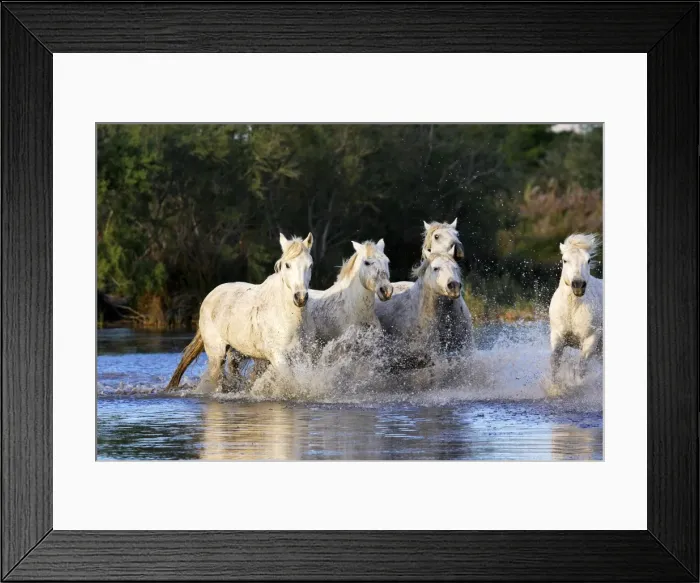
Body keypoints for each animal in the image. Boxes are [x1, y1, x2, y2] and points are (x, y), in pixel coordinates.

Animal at [166, 232, 314, 392]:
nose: (300, 297)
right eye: (287, 265)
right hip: (216, 355)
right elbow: (290, 381)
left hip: (236, 352)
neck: (286, 316)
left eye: (310, 265)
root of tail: (210, 296)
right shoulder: (278, 356)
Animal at [549, 233, 603, 381]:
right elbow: (554, 365)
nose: (578, 285)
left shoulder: (591, 339)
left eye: (589, 260)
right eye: (565, 260)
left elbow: (581, 369)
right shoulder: (557, 337)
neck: (572, 309)